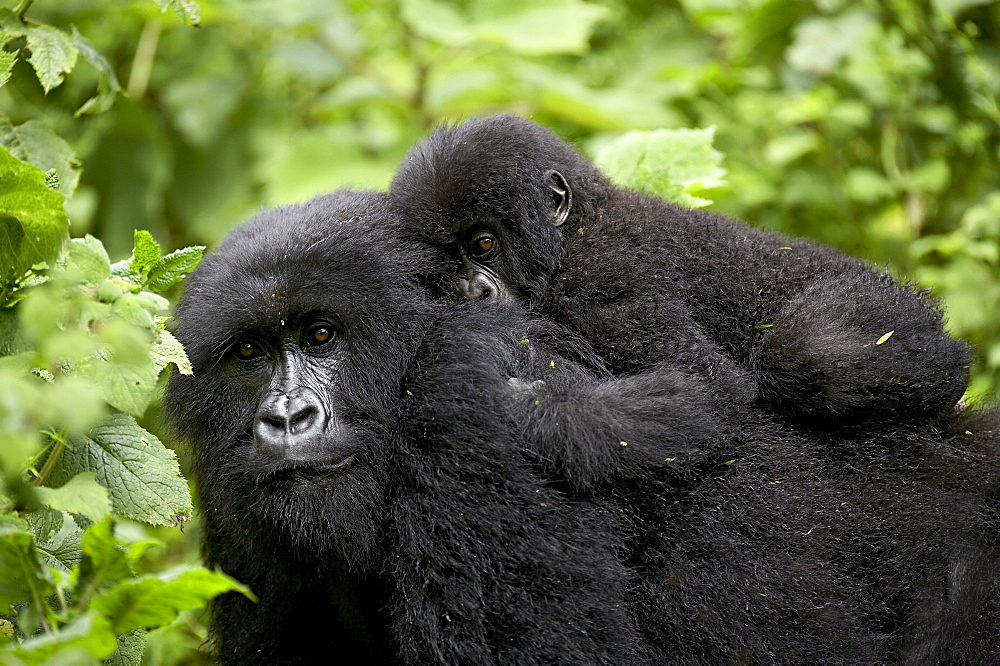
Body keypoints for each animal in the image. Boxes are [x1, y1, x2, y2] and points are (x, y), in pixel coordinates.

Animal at [390, 114, 968, 428]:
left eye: (483, 245)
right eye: (445, 267)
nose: (470, 290)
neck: (577, 228)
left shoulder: (601, 281)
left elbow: (708, 387)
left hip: (887, 301)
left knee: (812, 352)